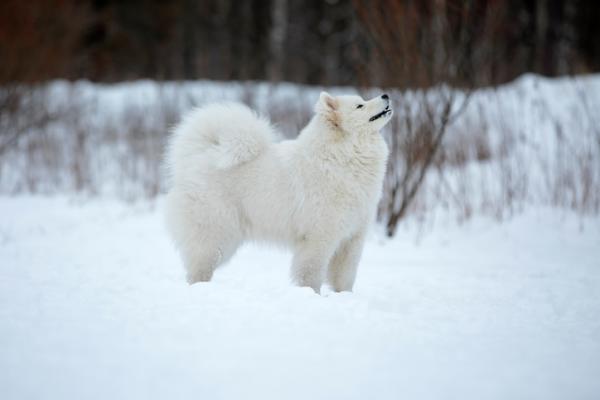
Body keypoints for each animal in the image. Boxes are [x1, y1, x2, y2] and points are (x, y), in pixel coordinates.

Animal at [164, 92, 392, 292]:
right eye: (360, 105)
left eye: (362, 100)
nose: (386, 95)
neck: (342, 156)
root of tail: (198, 157)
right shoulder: (319, 237)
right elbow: (311, 273)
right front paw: (311, 295)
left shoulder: (352, 238)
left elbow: (345, 277)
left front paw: (344, 297)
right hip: (215, 238)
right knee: (198, 270)